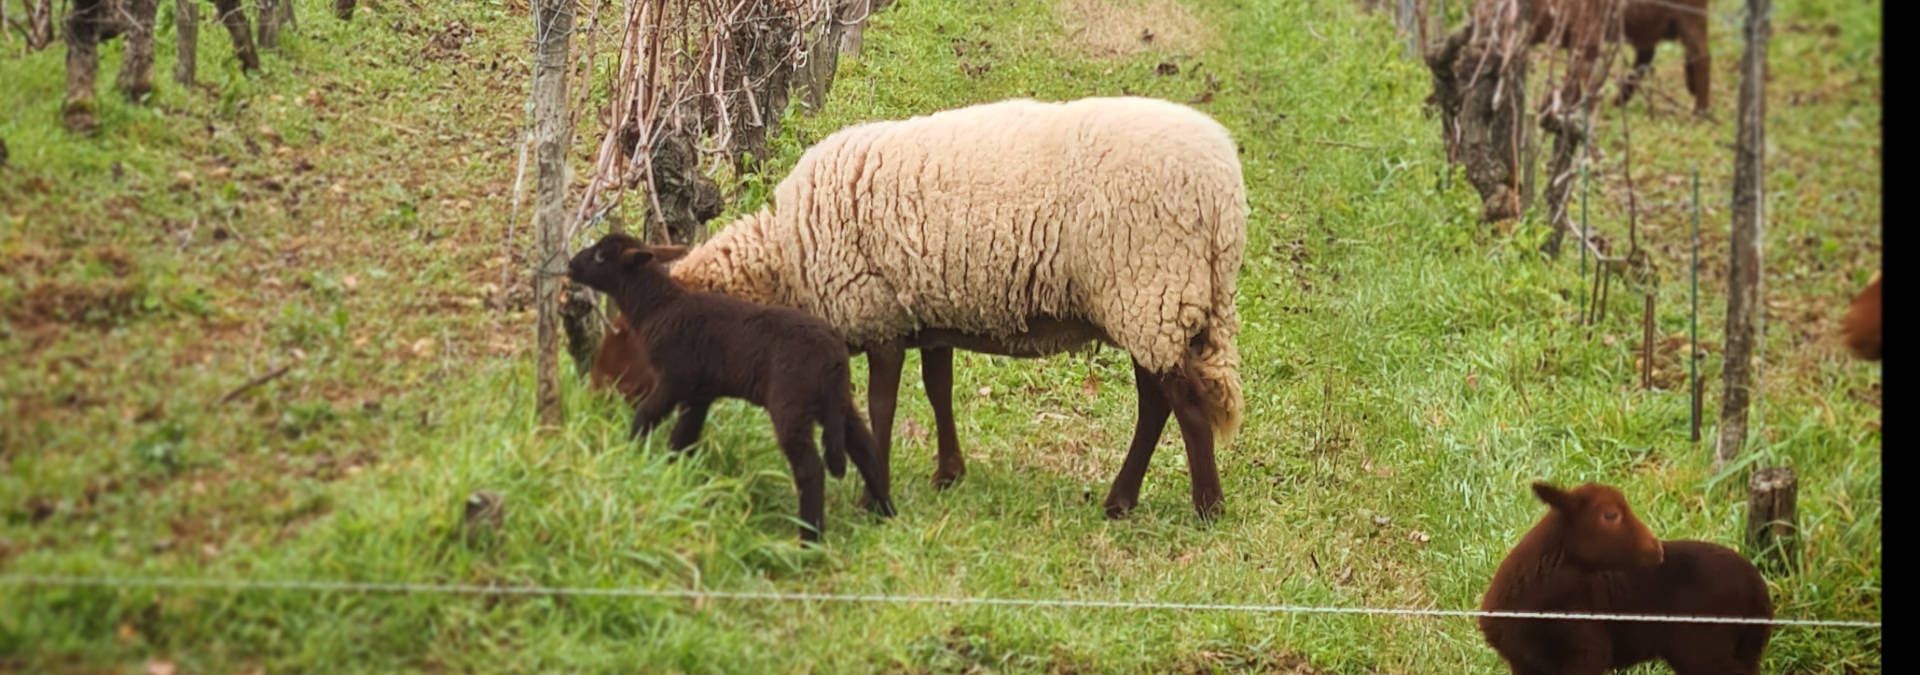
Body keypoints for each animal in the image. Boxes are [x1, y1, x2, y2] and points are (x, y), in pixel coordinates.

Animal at [656, 93, 1244, 517]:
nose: (650, 439)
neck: (787, 257)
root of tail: (1226, 193)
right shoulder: (930, 310)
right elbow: (939, 389)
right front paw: (949, 473)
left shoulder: (879, 315)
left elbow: (882, 405)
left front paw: (874, 497)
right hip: (1161, 304)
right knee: (1159, 403)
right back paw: (1125, 499)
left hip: (1150, 292)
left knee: (1182, 406)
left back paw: (1204, 507)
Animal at [1474, 483, 1774, 671]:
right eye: (1610, 515)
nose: (1657, 548)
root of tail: (1757, 585)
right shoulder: (1524, 662)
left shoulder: (1587, 653)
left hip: (1706, 648)